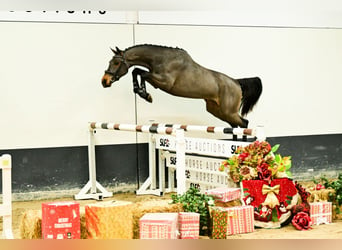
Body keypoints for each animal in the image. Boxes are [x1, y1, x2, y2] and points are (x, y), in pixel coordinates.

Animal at [101, 43, 262, 128]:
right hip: (217, 110)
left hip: (228, 112)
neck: (162, 59)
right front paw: (143, 93)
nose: (104, 81)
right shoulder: (156, 78)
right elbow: (137, 71)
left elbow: (141, 73)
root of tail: (236, 83)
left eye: (116, 63)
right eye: (110, 62)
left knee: (244, 123)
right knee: (236, 125)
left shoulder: (164, 82)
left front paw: (145, 95)